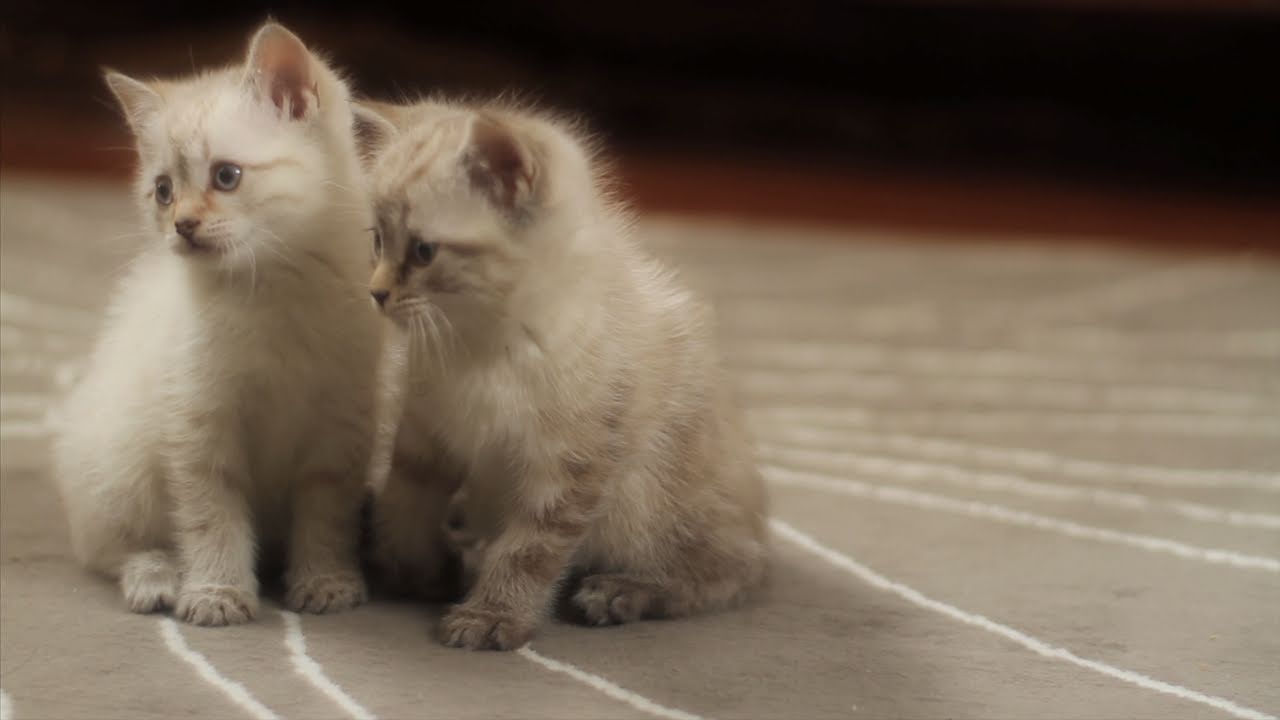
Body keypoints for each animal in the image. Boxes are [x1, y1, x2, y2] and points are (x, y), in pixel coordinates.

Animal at [52, 22, 383, 626]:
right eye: (163, 191)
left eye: (226, 176)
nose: (182, 225)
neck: (273, 286)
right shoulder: (198, 425)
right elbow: (212, 514)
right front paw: (217, 592)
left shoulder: (339, 426)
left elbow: (327, 515)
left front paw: (325, 582)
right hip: (117, 470)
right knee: (115, 550)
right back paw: (156, 579)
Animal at [357, 98, 770, 650]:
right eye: (377, 241)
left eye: (424, 251)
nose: (376, 293)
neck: (480, 342)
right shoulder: (425, 435)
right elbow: (405, 506)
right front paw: (410, 571)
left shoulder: (571, 465)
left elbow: (528, 551)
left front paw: (492, 615)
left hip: (647, 501)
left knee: (731, 569)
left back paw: (623, 592)